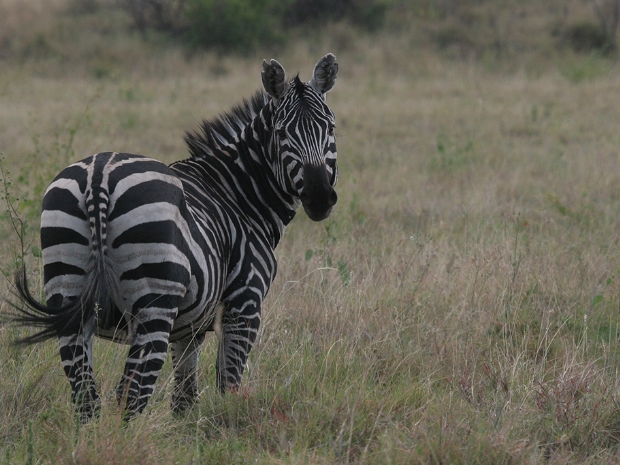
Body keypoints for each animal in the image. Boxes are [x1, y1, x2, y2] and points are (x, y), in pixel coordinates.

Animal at [9, 53, 340, 420]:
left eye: (330, 127)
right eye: (281, 133)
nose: (319, 197)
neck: (239, 195)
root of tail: (99, 175)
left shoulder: (190, 326)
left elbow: (184, 396)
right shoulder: (244, 304)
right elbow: (228, 386)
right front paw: (228, 426)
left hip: (69, 294)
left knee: (86, 397)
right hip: (154, 304)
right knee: (132, 393)